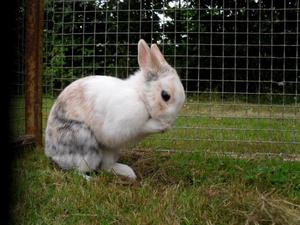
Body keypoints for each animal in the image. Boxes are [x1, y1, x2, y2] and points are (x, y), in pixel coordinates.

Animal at [44, 38, 185, 179]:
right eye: (165, 95)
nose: (169, 122)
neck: (141, 96)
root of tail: (50, 152)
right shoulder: (121, 125)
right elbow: (140, 127)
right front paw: (161, 125)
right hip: (84, 142)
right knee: (77, 170)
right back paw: (89, 179)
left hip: (110, 150)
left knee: (106, 166)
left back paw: (128, 173)